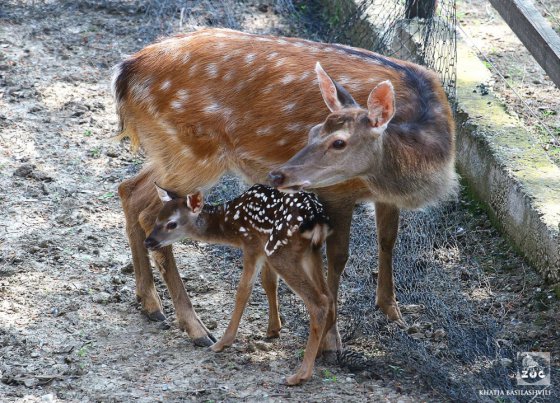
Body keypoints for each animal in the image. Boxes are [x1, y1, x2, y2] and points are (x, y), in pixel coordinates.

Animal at [112, 27, 456, 350]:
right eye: (313, 132)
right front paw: (332, 340)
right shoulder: (338, 190)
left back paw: (150, 303)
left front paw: (392, 310)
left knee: (129, 190)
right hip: (193, 153)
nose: (280, 174)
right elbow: (338, 256)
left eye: (338, 142)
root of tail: (125, 71)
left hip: (169, 151)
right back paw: (196, 328)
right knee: (151, 214)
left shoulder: (385, 196)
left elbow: (388, 240)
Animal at [144, 185, 332, 386]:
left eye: (172, 224)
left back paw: (299, 375)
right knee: (329, 296)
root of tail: (317, 218)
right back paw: (319, 352)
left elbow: (243, 291)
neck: (230, 222)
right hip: (310, 251)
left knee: (319, 302)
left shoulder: (251, 243)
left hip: (280, 251)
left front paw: (222, 343)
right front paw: (273, 329)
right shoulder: (260, 247)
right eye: (157, 218)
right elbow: (268, 282)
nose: (148, 241)